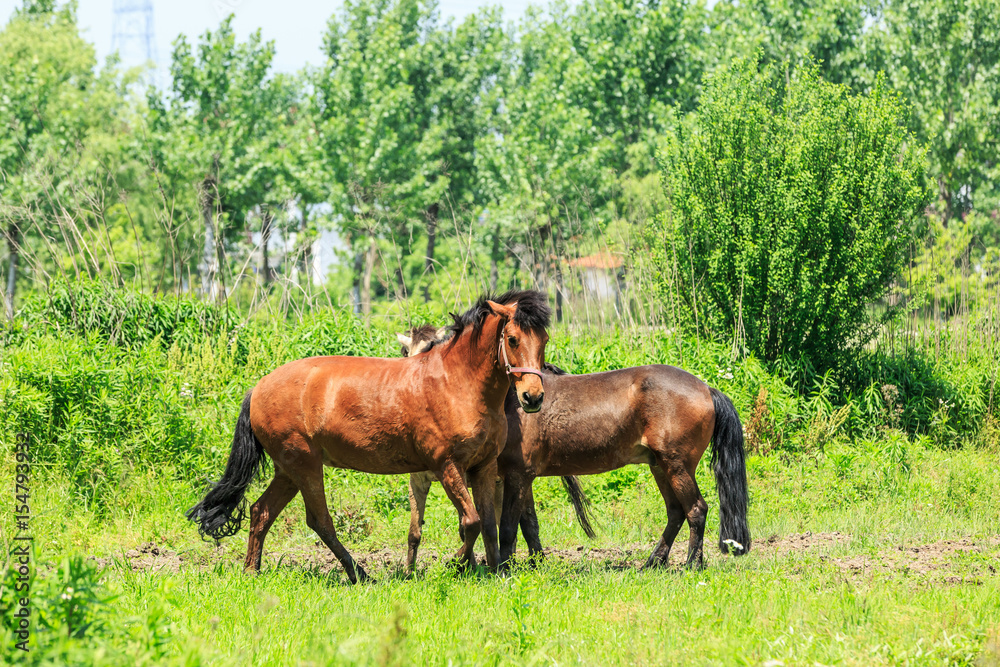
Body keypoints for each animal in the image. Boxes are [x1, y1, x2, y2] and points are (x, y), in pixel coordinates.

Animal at [184, 290, 552, 580]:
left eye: (544, 340)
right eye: (513, 339)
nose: (533, 397)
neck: (457, 383)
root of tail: (258, 389)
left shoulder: (483, 468)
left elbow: (488, 524)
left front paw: (495, 572)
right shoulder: (447, 466)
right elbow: (471, 522)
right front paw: (456, 565)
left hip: (288, 470)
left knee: (261, 512)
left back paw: (252, 571)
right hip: (304, 465)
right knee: (319, 520)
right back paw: (358, 573)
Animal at [402, 326, 748, 572]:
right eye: (407, 352)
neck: (511, 403)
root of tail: (706, 388)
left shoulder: (516, 476)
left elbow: (508, 527)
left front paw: (503, 567)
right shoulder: (515, 477)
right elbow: (528, 524)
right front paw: (535, 564)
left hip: (676, 466)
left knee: (696, 510)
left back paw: (692, 564)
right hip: (659, 466)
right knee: (676, 512)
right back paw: (653, 563)